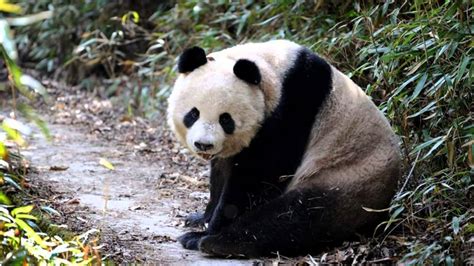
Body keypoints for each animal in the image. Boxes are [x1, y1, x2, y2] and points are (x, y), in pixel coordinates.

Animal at [166, 40, 400, 258]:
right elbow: (222, 172)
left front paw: (208, 230)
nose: (204, 144)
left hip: (346, 178)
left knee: (296, 215)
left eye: (226, 119)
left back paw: (215, 242)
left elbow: (258, 177)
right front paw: (201, 218)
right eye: (193, 114)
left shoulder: (293, 108)